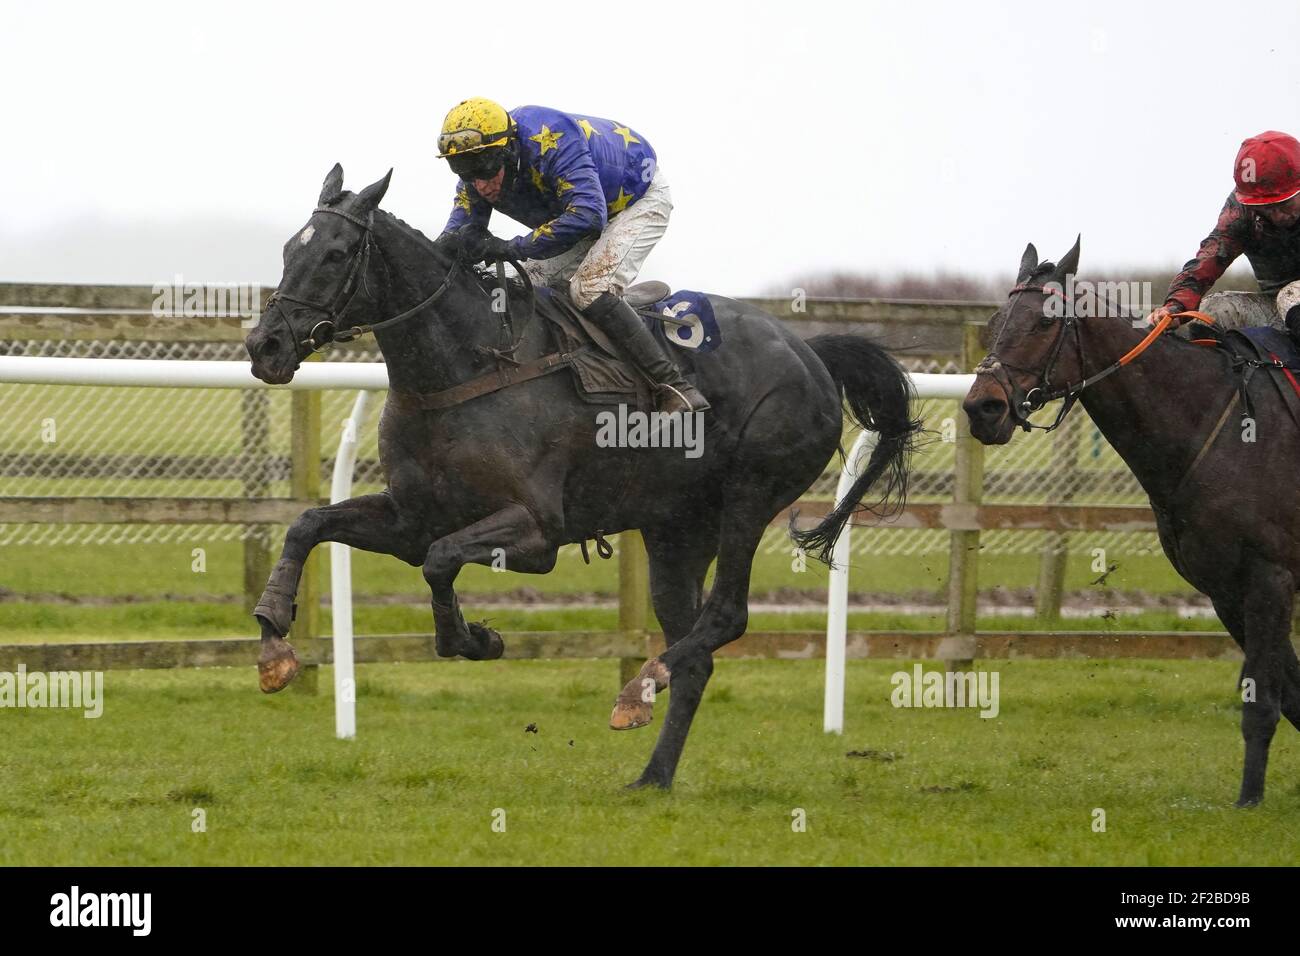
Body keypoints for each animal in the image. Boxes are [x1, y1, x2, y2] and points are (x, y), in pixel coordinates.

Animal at [244, 166, 915, 790]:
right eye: (289, 249)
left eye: (334, 254)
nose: (264, 345)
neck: (466, 365)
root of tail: (811, 354)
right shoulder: (412, 518)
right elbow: (310, 524)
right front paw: (274, 641)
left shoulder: (537, 531)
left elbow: (440, 560)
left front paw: (473, 638)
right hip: (677, 530)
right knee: (697, 652)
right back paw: (653, 774)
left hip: (751, 494)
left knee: (727, 616)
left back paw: (638, 689)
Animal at [967, 235, 1300, 806]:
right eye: (994, 323)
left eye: (1043, 324)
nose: (981, 409)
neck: (1219, 423)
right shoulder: (1225, 588)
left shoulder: (1270, 579)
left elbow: (1264, 701)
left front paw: (1249, 800)